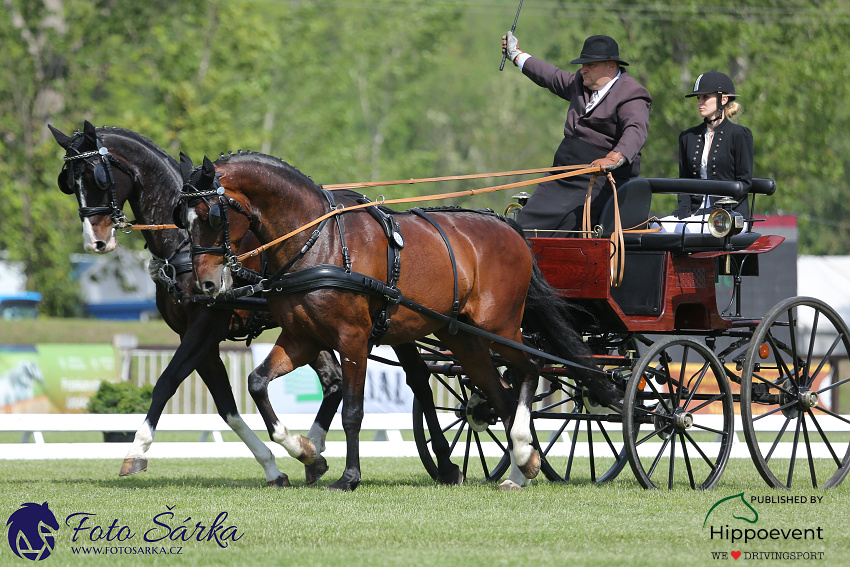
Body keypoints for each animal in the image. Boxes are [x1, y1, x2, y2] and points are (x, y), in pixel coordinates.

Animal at [47, 123, 342, 488]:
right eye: (69, 182)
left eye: (97, 178)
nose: (95, 242)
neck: (183, 245)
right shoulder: (196, 336)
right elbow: (226, 406)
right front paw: (273, 466)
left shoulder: (205, 327)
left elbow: (166, 382)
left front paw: (136, 450)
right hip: (305, 328)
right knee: (334, 380)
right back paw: (312, 452)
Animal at [181, 153, 604, 490]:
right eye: (180, 219)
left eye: (211, 216)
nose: (205, 284)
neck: (318, 240)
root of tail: (510, 228)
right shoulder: (303, 337)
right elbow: (257, 383)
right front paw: (305, 451)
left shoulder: (352, 337)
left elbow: (353, 412)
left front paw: (349, 477)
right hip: (463, 337)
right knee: (501, 395)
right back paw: (521, 466)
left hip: (498, 328)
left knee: (529, 369)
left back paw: (521, 456)